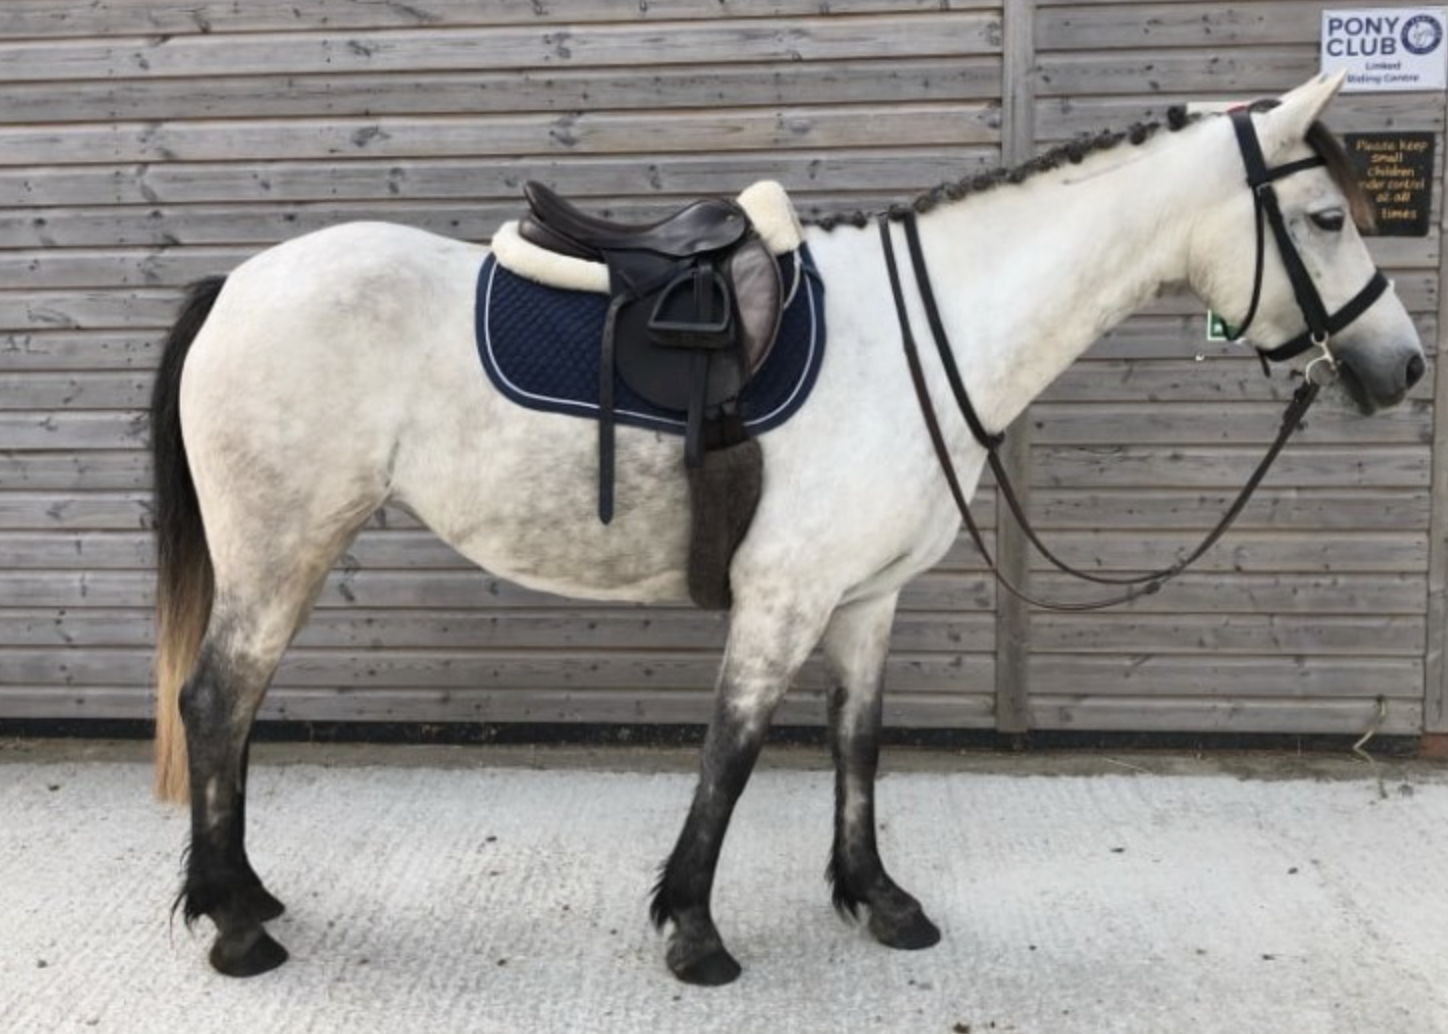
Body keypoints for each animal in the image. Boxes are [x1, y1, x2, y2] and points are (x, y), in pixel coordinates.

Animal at [150, 74, 1424, 986]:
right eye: (1322, 217)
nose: (1400, 365)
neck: (921, 336)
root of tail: (237, 283)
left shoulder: (866, 598)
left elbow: (856, 744)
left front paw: (878, 900)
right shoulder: (784, 595)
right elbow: (733, 750)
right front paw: (693, 931)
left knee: (236, 710)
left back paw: (247, 895)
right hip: (280, 547)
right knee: (217, 701)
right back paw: (235, 929)